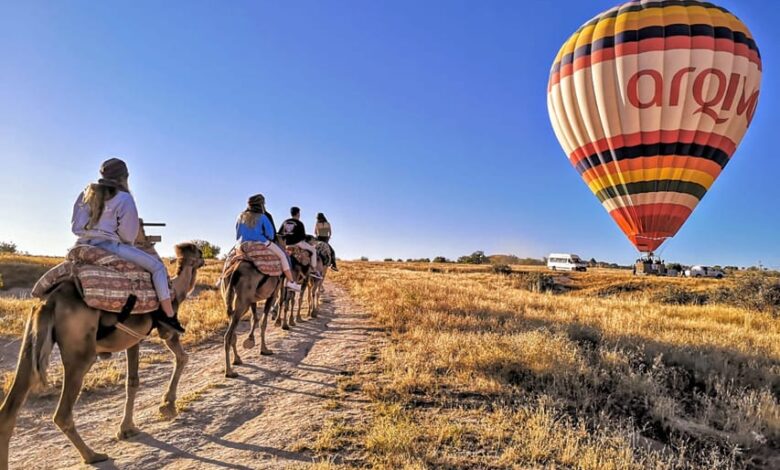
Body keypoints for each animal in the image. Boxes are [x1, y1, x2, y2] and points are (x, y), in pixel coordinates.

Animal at [0, 242, 204, 466]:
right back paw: (93, 456)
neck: (176, 288)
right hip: (81, 353)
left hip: (32, 339)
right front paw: (167, 405)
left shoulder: (133, 340)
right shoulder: (167, 331)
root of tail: (50, 301)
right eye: (199, 253)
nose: (202, 260)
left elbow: (132, 382)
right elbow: (181, 358)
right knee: (62, 413)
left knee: (10, 409)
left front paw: (127, 429)